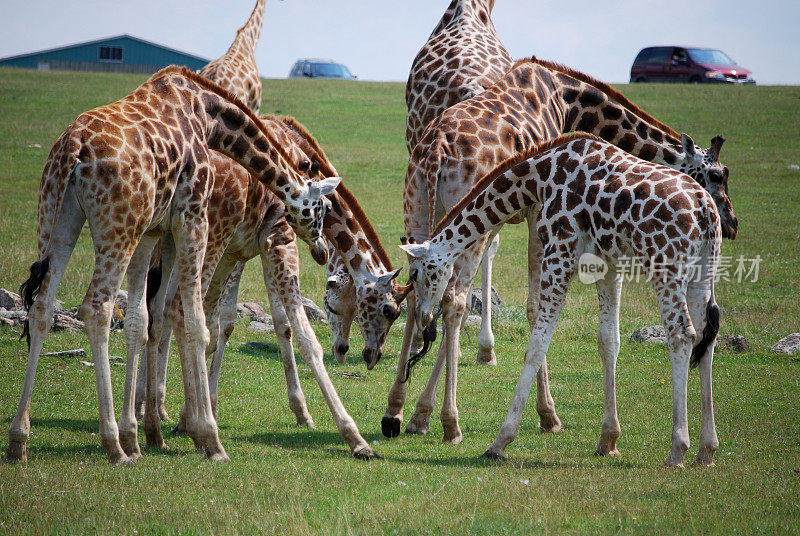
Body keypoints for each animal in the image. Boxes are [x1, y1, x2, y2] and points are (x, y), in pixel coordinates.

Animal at [3, 66, 336, 464]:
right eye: (322, 209)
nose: (321, 249)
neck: (210, 118)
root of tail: (73, 148)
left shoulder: (156, 229)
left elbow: (148, 319)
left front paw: (152, 431)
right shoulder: (193, 215)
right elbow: (194, 321)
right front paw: (208, 438)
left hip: (57, 217)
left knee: (41, 307)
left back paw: (19, 440)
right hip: (119, 228)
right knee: (97, 308)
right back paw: (114, 445)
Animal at [135, 115, 410, 458]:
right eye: (388, 311)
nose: (370, 356)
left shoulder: (244, 248)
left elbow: (255, 324)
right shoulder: (278, 238)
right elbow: (301, 336)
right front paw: (353, 437)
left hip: (170, 238)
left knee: (156, 310)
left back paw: (150, 415)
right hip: (202, 236)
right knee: (169, 310)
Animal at [382, 57, 736, 444]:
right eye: (718, 175)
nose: (731, 223)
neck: (568, 100)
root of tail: (435, 152)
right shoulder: (538, 216)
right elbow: (535, 309)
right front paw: (547, 414)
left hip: (414, 207)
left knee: (419, 297)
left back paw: (398, 411)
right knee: (454, 301)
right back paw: (445, 419)